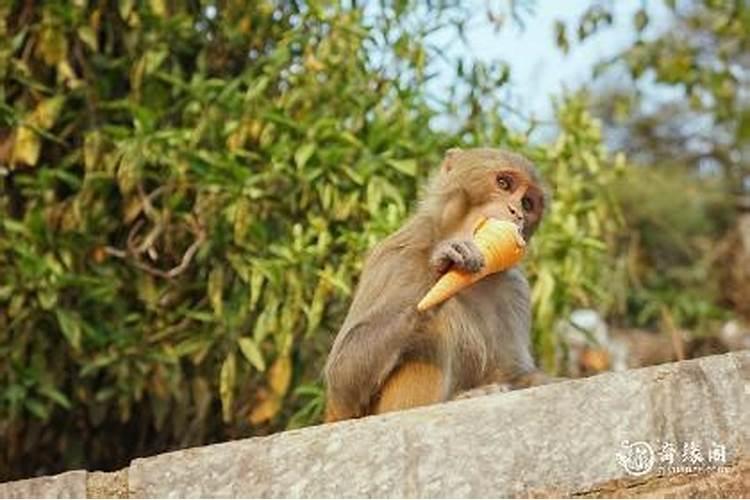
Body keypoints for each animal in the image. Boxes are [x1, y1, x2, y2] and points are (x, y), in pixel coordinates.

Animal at [326, 147, 556, 422]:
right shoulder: (394, 258)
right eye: (503, 183)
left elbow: (516, 374)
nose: (517, 213)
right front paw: (439, 272)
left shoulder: (516, 290)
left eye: (528, 203)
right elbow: (342, 383)